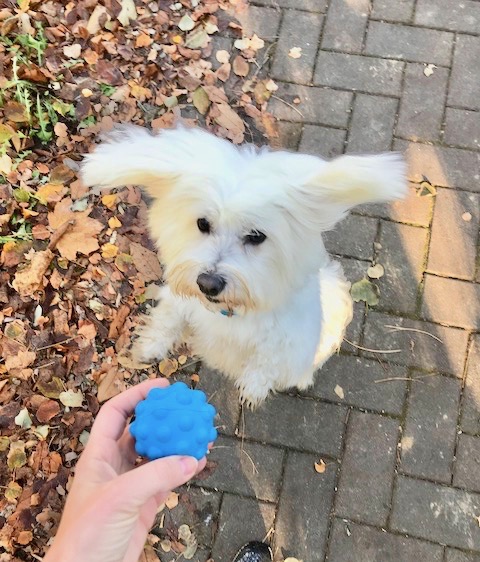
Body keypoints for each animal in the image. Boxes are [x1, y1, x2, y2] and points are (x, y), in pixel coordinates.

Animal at [82, 126, 404, 406]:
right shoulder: (180, 299)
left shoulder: (284, 340)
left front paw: (254, 387)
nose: (208, 284)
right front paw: (150, 346)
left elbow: (267, 362)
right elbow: (168, 319)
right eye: (203, 223)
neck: (231, 311)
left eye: (256, 236)